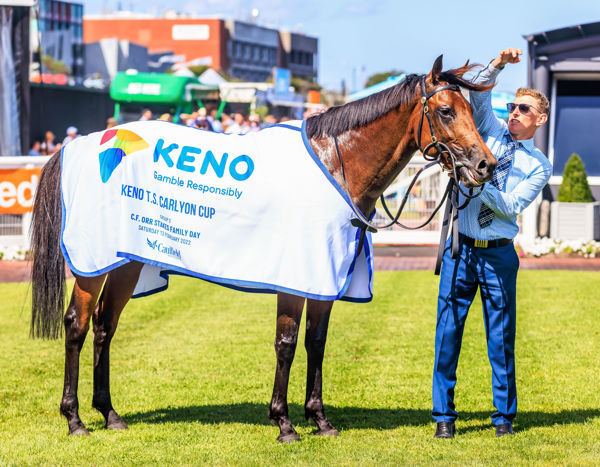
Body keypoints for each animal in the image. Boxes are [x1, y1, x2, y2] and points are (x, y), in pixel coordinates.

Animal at [29, 54, 496, 442]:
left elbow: (316, 342)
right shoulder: (296, 274)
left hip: (127, 261)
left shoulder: (324, 277)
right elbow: (286, 343)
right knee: (77, 325)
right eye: (446, 110)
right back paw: (74, 418)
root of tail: (75, 146)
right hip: (90, 264)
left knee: (105, 326)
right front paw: (284, 422)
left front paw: (319, 418)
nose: (485, 165)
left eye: (473, 110)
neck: (336, 163)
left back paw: (109, 413)